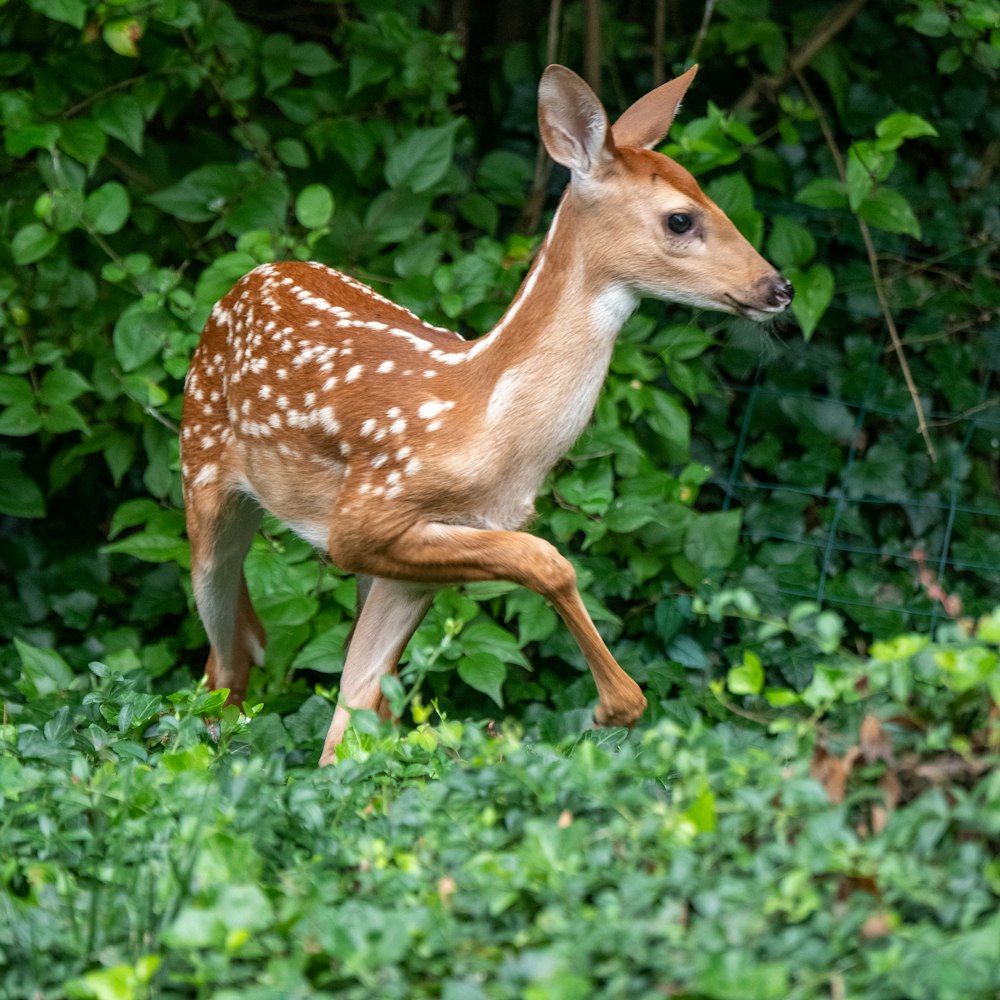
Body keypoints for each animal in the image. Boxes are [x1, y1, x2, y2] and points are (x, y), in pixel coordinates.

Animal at [178, 64, 788, 764]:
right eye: (681, 219)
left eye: (710, 197)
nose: (778, 287)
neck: (489, 423)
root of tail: (245, 278)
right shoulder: (363, 520)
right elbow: (548, 559)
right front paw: (617, 704)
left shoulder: (413, 566)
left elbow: (350, 720)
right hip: (202, 475)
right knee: (224, 655)